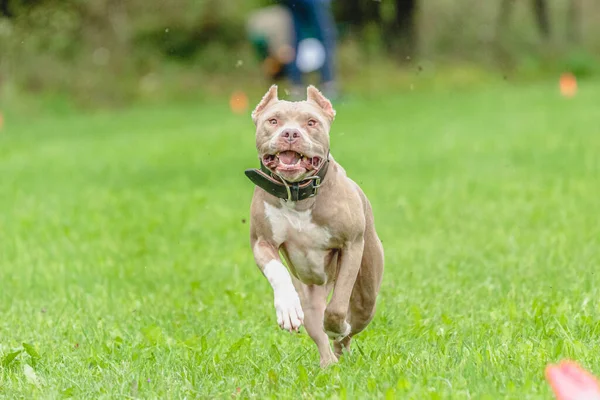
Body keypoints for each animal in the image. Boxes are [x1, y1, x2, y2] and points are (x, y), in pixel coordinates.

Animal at [245, 86, 382, 368]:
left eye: (311, 122)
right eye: (273, 121)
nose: (290, 133)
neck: (297, 194)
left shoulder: (351, 245)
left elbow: (338, 307)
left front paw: (337, 326)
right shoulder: (262, 242)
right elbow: (277, 271)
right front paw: (287, 308)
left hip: (367, 294)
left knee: (349, 323)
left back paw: (341, 345)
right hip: (309, 292)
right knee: (315, 326)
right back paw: (328, 364)